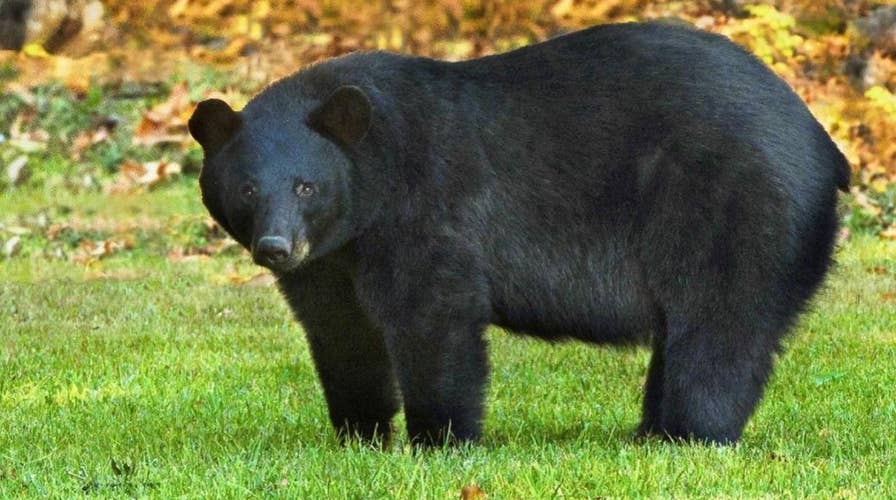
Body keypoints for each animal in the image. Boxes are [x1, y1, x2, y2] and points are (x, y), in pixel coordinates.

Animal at [188, 22, 849, 447]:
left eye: (306, 186)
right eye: (247, 189)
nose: (277, 248)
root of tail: (823, 143)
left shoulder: (423, 207)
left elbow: (434, 315)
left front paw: (440, 440)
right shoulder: (333, 259)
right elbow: (341, 332)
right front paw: (360, 435)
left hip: (737, 206)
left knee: (719, 328)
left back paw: (687, 436)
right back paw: (648, 433)